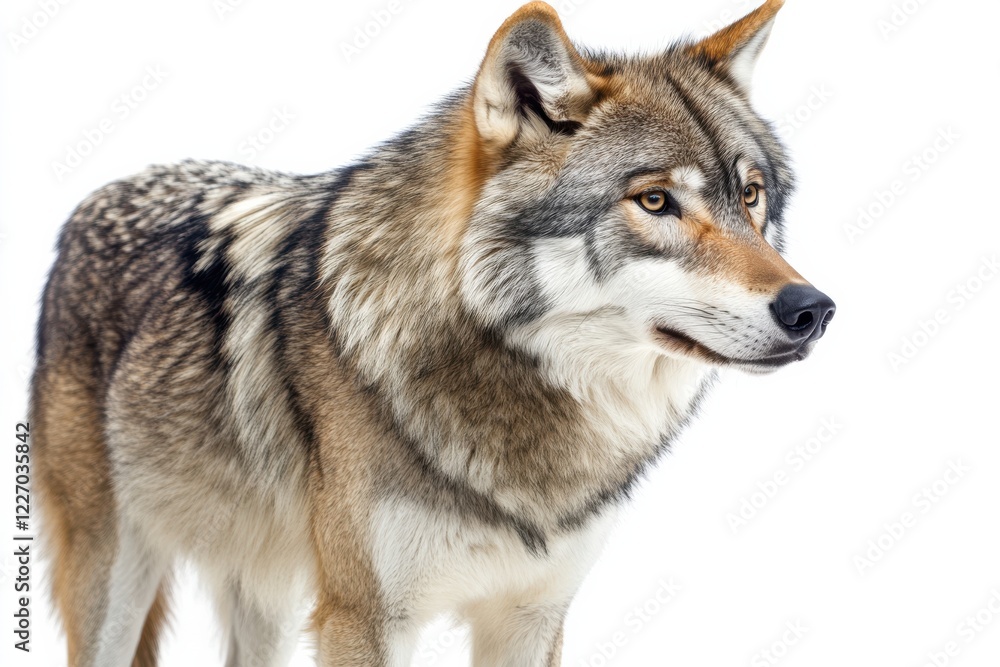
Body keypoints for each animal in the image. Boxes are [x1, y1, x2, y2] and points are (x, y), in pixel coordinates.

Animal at [30, 1, 834, 665]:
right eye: (656, 201)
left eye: (751, 195)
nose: (813, 310)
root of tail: (92, 202)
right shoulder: (365, 619)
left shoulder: (532, 616)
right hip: (117, 580)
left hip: (266, 594)